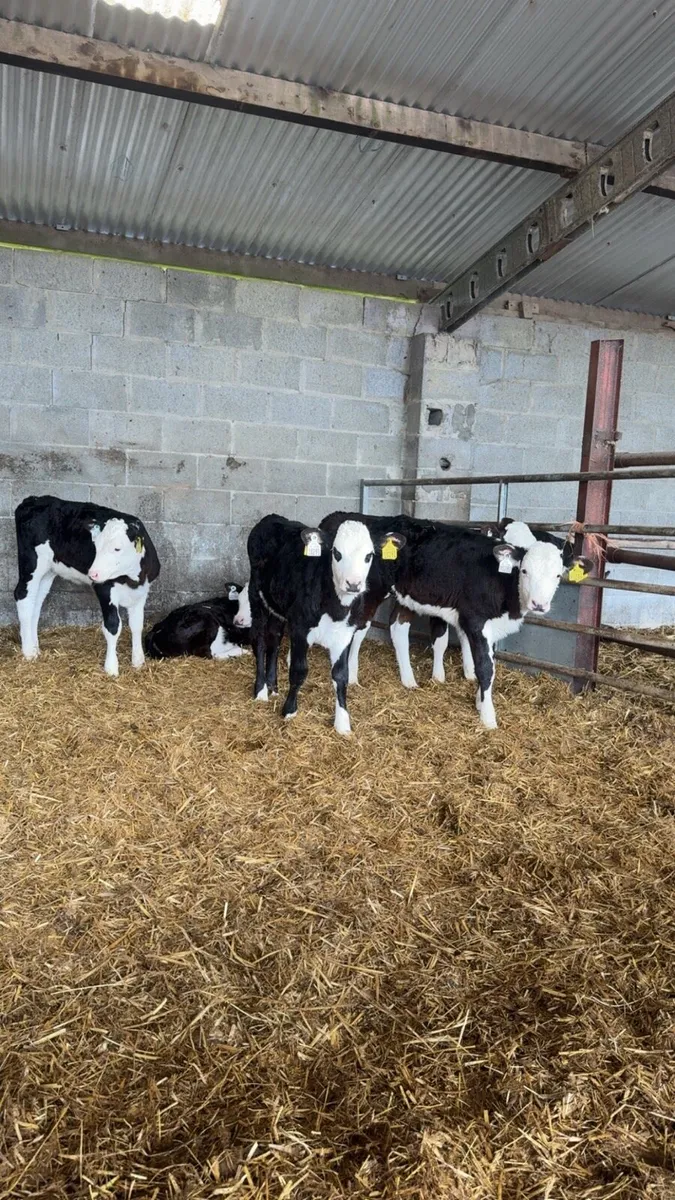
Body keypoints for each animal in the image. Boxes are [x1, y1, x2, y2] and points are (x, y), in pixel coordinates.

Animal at [14, 495, 160, 676]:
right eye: (96, 546)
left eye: (117, 548)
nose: (93, 573)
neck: (132, 577)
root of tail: (33, 500)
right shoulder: (104, 588)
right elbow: (112, 626)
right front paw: (111, 668)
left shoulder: (142, 591)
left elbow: (137, 625)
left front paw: (138, 661)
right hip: (31, 563)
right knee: (23, 597)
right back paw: (28, 652)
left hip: (48, 571)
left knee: (35, 603)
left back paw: (35, 648)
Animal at [247, 513, 404, 734]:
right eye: (336, 553)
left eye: (369, 556)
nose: (353, 584)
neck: (335, 608)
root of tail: (272, 517)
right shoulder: (300, 629)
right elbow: (298, 671)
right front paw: (289, 710)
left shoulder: (345, 633)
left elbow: (341, 675)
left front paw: (343, 722)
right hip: (256, 596)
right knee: (260, 641)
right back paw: (261, 690)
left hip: (277, 606)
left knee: (275, 640)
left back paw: (273, 686)